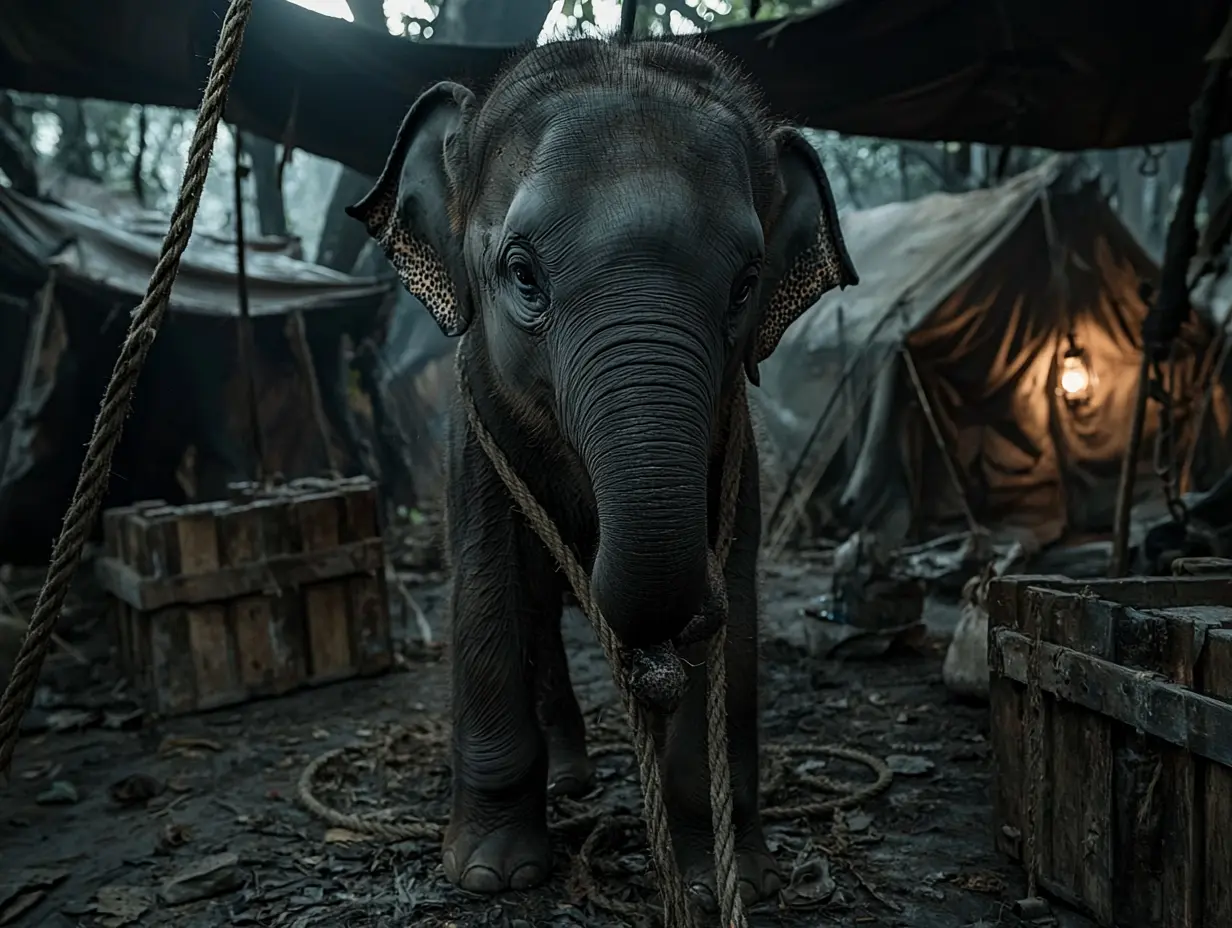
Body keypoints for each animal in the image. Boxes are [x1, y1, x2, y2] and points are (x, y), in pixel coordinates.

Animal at [348, 35, 856, 911]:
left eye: (745, 284)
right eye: (523, 274)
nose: (677, 632)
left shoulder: (739, 451)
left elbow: (741, 593)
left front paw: (734, 882)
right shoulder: (473, 429)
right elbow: (484, 581)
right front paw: (492, 873)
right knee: (533, 607)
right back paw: (568, 781)